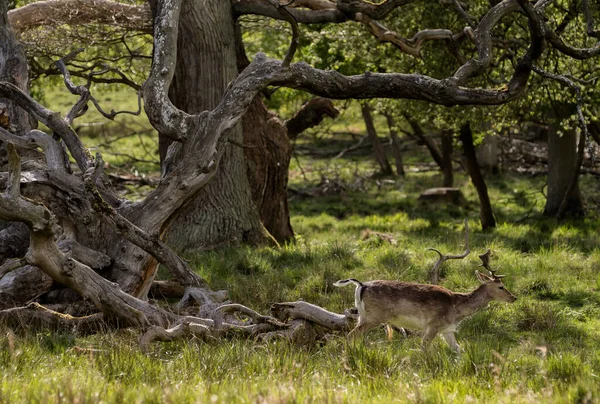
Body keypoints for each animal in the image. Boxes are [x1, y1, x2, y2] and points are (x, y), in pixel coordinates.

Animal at [332, 270, 516, 352]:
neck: (456, 308)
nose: (514, 297)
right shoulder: (433, 325)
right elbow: (424, 348)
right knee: (351, 335)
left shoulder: (447, 329)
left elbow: (459, 349)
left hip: (362, 316)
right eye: (501, 286)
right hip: (374, 317)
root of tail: (361, 285)